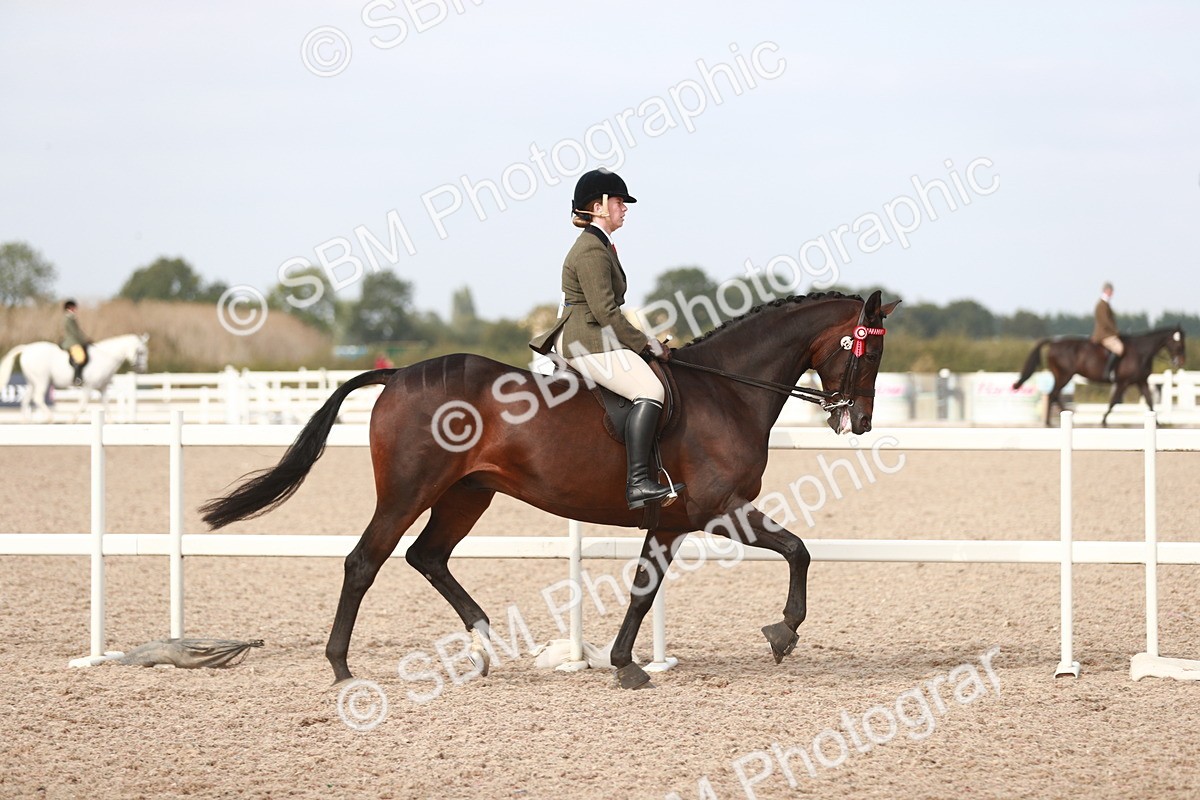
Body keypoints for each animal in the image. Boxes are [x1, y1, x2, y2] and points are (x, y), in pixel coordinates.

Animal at [0, 333, 149, 422]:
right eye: (141, 352)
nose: (142, 369)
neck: (105, 357)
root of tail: (26, 348)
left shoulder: (102, 388)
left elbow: (106, 406)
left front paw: (112, 423)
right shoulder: (88, 386)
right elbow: (83, 406)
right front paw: (71, 421)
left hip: (32, 382)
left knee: (26, 400)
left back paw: (26, 421)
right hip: (42, 380)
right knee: (37, 398)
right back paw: (50, 418)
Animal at [200, 290, 900, 689]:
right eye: (866, 353)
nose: (858, 421)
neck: (728, 390)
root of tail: (397, 374)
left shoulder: (672, 522)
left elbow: (644, 590)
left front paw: (625, 664)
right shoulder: (718, 510)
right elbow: (798, 549)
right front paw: (783, 633)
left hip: (467, 494)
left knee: (427, 556)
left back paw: (484, 644)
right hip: (408, 491)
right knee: (364, 561)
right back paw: (342, 667)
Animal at [1012, 328, 1186, 426]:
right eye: (1178, 342)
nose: (1181, 361)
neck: (1140, 352)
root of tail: (1054, 341)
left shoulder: (1141, 381)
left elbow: (1150, 403)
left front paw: (1158, 423)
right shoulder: (1123, 382)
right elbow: (1113, 402)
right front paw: (1103, 421)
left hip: (1062, 376)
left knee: (1054, 395)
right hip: (1065, 375)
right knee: (1053, 394)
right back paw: (1051, 422)